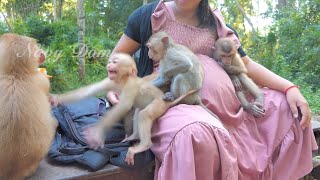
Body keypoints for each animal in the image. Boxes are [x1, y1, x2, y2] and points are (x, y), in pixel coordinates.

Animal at [50, 52, 195, 165]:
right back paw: (133, 136)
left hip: (159, 104)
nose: (109, 65)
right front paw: (56, 99)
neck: (122, 80)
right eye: (110, 62)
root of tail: (167, 102)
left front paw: (96, 133)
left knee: (144, 114)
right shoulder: (109, 81)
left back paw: (144, 145)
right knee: (138, 113)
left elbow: (123, 107)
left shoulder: (130, 86)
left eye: (115, 62)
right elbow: (87, 91)